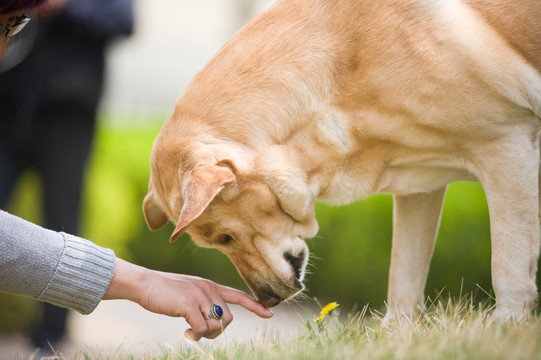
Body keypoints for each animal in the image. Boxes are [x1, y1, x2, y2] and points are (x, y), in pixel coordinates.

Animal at [141, 0, 536, 320]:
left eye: (225, 237)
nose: (266, 299)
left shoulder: (506, 145)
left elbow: (509, 267)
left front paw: (508, 327)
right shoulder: (419, 191)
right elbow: (403, 276)